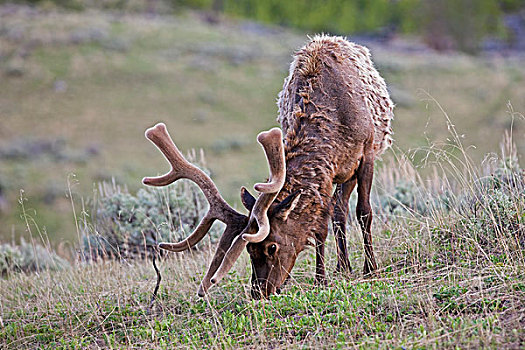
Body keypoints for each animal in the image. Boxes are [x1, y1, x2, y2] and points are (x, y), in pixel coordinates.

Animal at [143, 34, 392, 298]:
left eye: (272, 247)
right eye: (249, 251)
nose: (258, 292)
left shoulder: (366, 153)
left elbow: (364, 212)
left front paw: (370, 269)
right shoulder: (326, 174)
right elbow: (320, 226)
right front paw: (321, 279)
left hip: (354, 167)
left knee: (344, 208)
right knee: (339, 209)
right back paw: (342, 266)